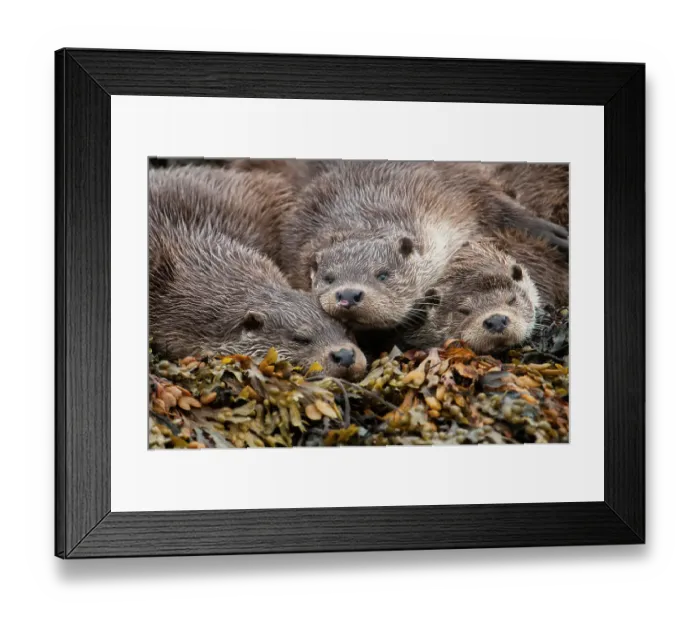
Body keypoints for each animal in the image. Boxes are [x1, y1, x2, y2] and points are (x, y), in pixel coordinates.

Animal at [280, 160, 568, 331]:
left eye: (383, 274)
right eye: (328, 278)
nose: (348, 295)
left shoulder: (454, 184)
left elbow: (502, 208)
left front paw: (554, 234)